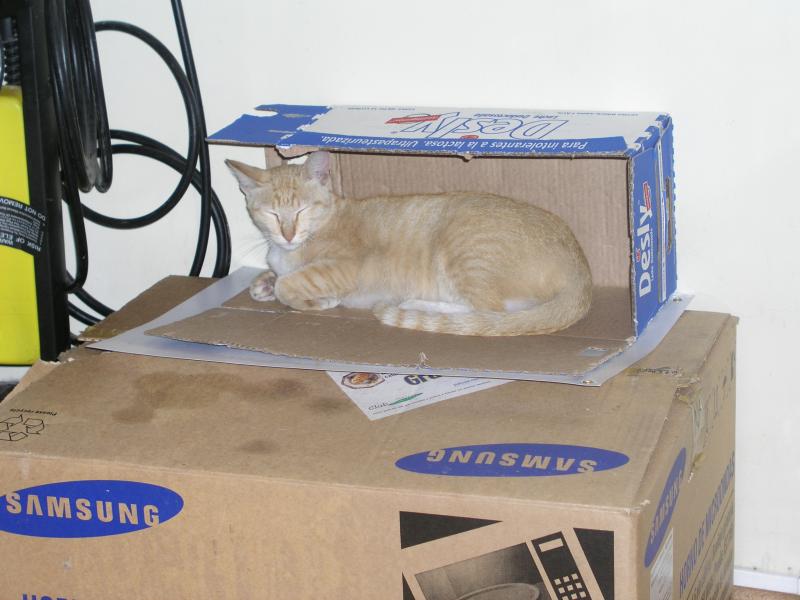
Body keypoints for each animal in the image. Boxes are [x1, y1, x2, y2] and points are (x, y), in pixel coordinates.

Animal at [226, 151, 592, 336]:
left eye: (301, 210)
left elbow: (289, 285)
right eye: (271, 214)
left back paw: (417, 305)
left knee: (487, 312)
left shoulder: (343, 268)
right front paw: (263, 283)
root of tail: (582, 271)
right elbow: (269, 279)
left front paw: (317, 300)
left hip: (465, 252)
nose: (287, 234)